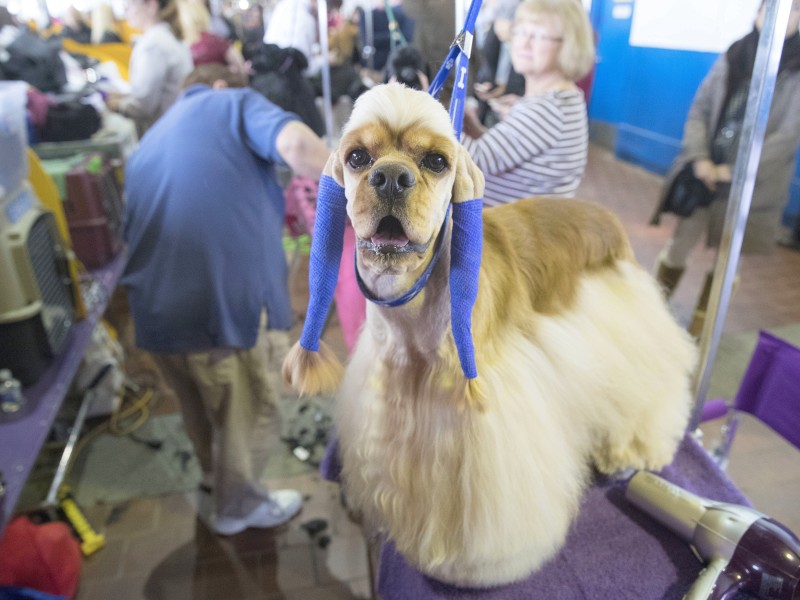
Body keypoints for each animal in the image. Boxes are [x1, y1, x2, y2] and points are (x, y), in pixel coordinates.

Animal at [284, 83, 696, 584]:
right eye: (358, 157)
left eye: (437, 161)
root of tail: (604, 214)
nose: (391, 178)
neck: (412, 308)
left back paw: (632, 451)